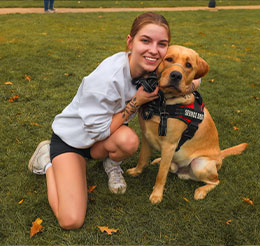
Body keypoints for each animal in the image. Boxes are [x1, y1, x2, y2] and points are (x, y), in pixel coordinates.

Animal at [127, 45, 248, 204]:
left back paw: (201, 191)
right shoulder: (146, 136)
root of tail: (220, 155)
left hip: (199, 164)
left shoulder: (170, 145)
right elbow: (142, 159)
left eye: (189, 65)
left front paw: (156, 195)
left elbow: (161, 175)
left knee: (216, 181)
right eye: (168, 59)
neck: (163, 103)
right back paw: (159, 161)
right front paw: (136, 171)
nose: (176, 76)